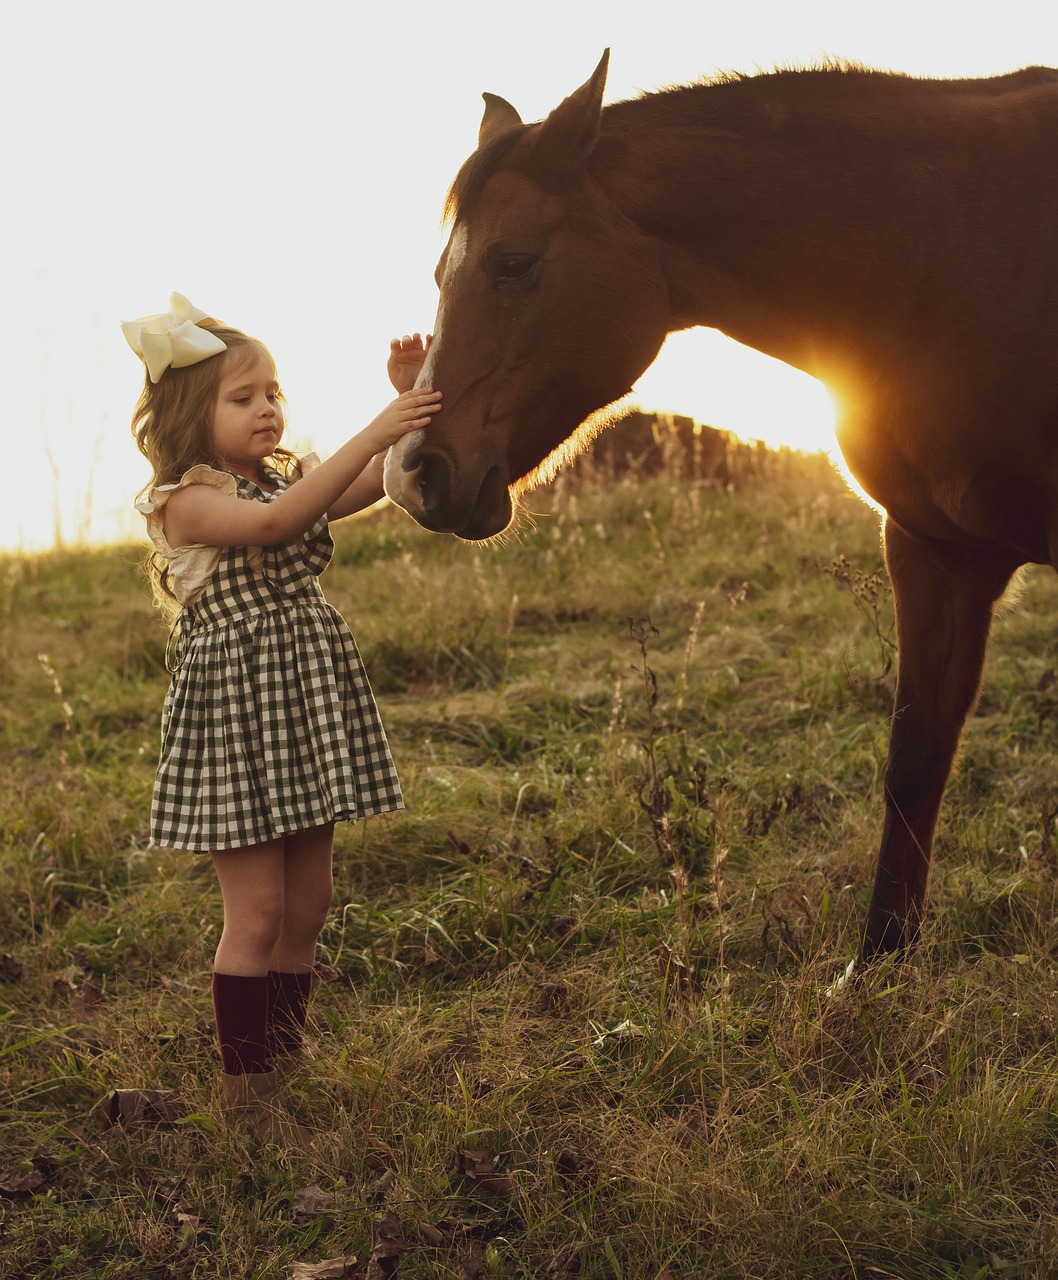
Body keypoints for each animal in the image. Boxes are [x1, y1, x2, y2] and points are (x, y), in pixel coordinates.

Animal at [383, 55, 1058, 957]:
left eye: (514, 262)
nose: (413, 474)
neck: (954, 248)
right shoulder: (932, 550)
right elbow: (915, 756)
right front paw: (879, 961)